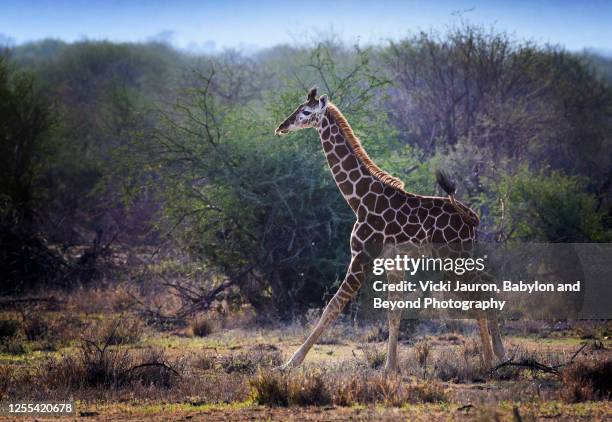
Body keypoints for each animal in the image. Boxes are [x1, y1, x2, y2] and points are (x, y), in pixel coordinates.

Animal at [274, 87, 504, 370]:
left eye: (306, 111)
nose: (282, 127)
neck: (359, 200)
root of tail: (472, 219)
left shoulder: (362, 256)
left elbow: (333, 306)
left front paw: (290, 363)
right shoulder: (394, 262)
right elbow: (394, 311)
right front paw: (390, 367)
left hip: (453, 259)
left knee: (480, 295)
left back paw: (489, 360)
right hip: (462, 258)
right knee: (486, 289)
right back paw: (498, 355)